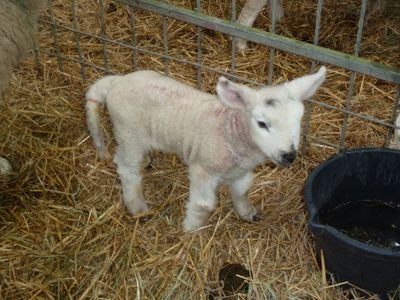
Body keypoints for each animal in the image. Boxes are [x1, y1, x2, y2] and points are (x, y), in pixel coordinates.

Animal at [86, 67, 326, 232]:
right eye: (262, 123)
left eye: (299, 120)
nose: (289, 155)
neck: (231, 130)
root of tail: (117, 81)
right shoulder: (204, 170)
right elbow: (203, 205)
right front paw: (190, 232)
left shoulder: (241, 172)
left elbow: (242, 190)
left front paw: (247, 213)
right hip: (129, 133)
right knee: (127, 168)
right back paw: (137, 207)